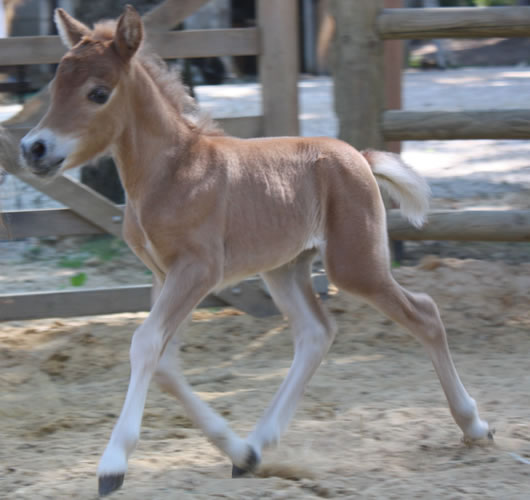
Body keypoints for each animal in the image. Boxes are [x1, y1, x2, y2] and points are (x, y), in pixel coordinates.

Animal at [21, 4, 490, 496]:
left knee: (425, 313)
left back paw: (474, 425)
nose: (34, 148)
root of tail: (359, 156)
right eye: (55, 86)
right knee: (315, 332)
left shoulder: (198, 270)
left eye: (98, 93)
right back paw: (257, 447)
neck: (171, 171)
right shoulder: (165, 275)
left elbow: (146, 344)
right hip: (284, 268)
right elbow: (164, 362)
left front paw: (112, 465)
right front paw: (239, 451)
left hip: (355, 264)